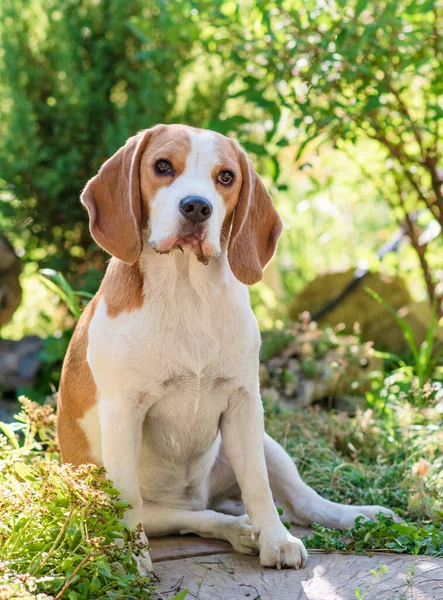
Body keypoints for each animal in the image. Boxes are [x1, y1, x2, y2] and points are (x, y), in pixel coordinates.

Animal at [57, 124, 394, 576]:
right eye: (162, 167)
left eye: (226, 177)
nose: (197, 207)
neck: (187, 291)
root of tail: (201, 494)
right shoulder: (124, 412)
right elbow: (127, 497)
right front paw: (129, 557)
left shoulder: (244, 403)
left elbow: (258, 486)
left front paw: (275, 541)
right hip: (152, 508)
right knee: (197, 517)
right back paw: (239, 530)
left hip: (268, 443)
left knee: (300, 502)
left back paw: (351, 515)